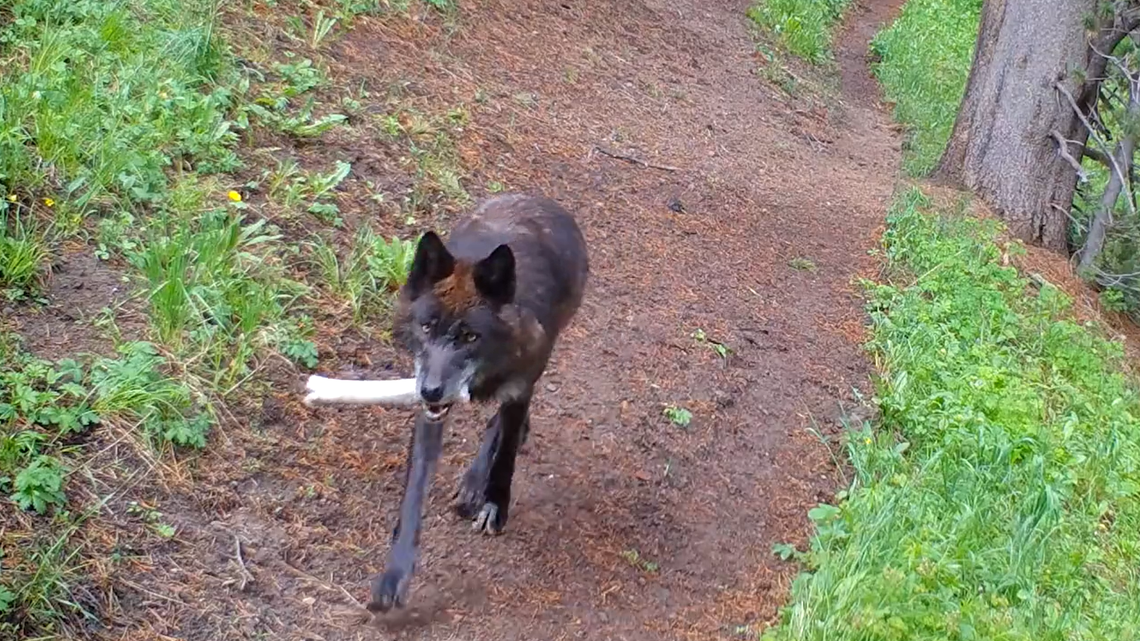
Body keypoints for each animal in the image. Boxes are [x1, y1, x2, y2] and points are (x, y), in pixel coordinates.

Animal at [367, 193, 589, 613]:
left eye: (470, 336)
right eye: (426, 327)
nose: (431, 391)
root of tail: (538, 197)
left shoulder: (520, 387)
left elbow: (505, 458)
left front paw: (494, 506)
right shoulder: (431, 414)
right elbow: (414, 492)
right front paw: (394, 574)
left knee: (503, 426)